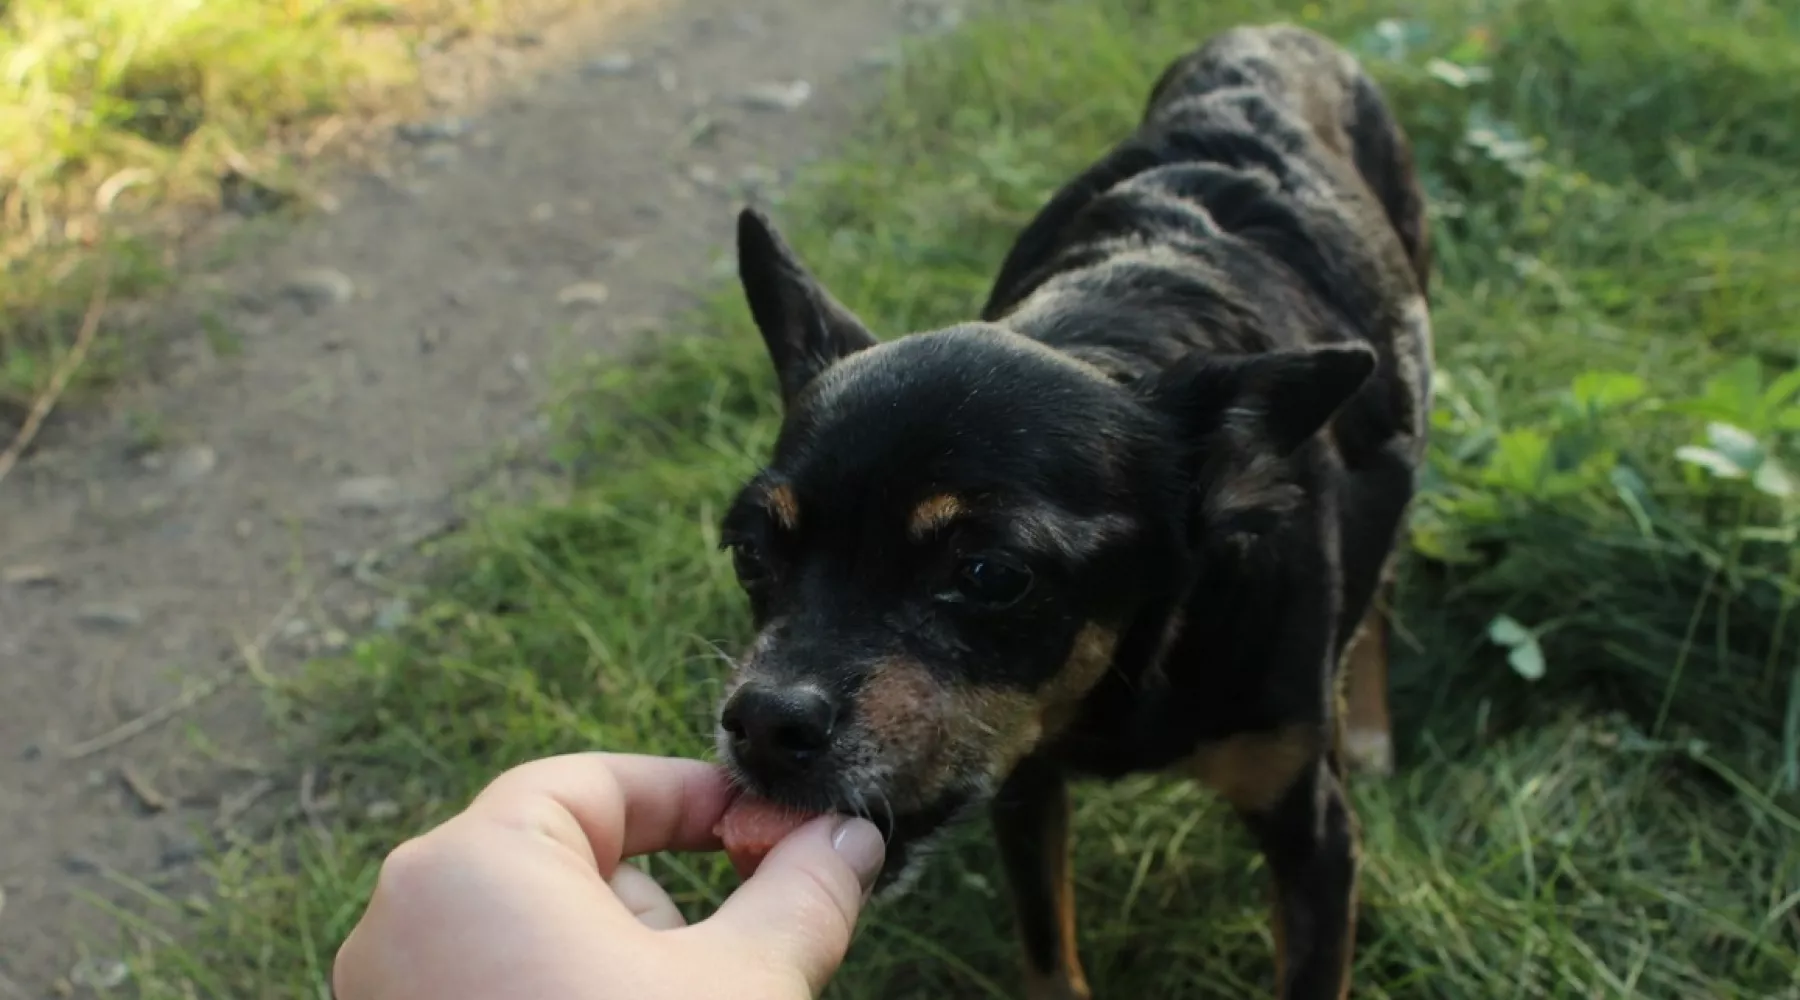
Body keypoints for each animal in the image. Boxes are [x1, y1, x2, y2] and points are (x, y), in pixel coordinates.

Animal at [716, 23, 1432, 1000]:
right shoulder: (1021, 786)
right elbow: (1049, 957)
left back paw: (1367, 731)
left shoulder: (1313, 836)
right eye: (749, 552)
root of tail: (1275, 30)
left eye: (992, 575)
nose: (761, 722)